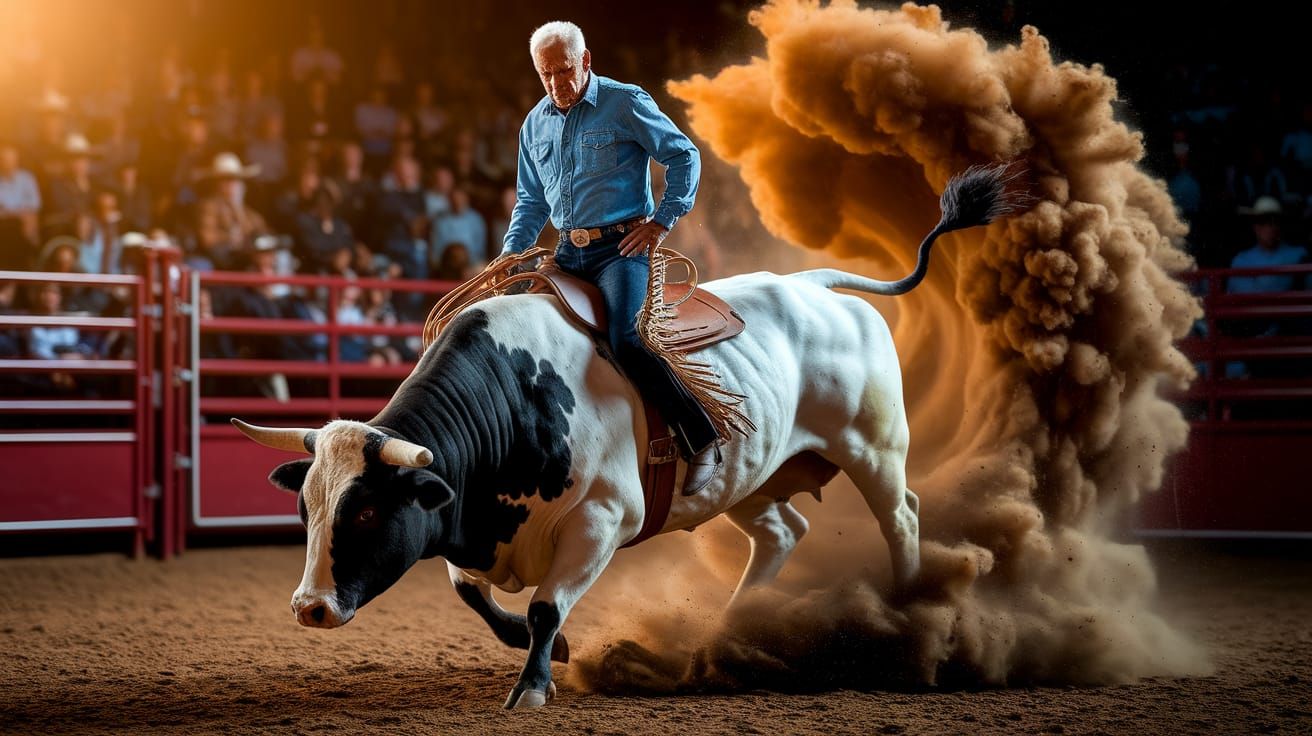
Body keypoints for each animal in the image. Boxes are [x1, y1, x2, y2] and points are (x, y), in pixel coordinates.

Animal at [232, 164, 1021, 709]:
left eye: (366, 510)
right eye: (305, 509)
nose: (310, 607)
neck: (517, 396)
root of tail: (816, 288)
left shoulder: (604, 519)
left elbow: (545, 603)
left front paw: (533, 684)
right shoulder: (464, 519)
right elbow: (473, 593)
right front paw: (545, 650)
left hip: (874, 445)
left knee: (900, 517)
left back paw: (909, 606)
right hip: (750, 477)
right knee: (783, 532)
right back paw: (727, 630)